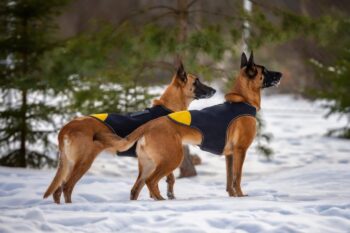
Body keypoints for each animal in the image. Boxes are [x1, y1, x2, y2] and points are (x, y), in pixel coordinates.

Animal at [43, 60, 216, 204]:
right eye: (197, 81)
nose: (214, 90)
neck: (168, 107)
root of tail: (68, 126)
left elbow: (164, 180)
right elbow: (168, 179)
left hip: (69, 164)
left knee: (57, 191)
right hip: (84, 162)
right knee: (67, 187)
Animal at [104, 51, 282, 200]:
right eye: (265, 71)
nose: (281, 74)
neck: (242, 101)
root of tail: (149, 125)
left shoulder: (230, 155)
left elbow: (229, 180)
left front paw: (232, 197)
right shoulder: (240, 150)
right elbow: (237, 178)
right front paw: (241, 197)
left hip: (149, 164)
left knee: (136, 188)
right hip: (172, 159)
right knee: (151, 182)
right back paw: (162, 201)